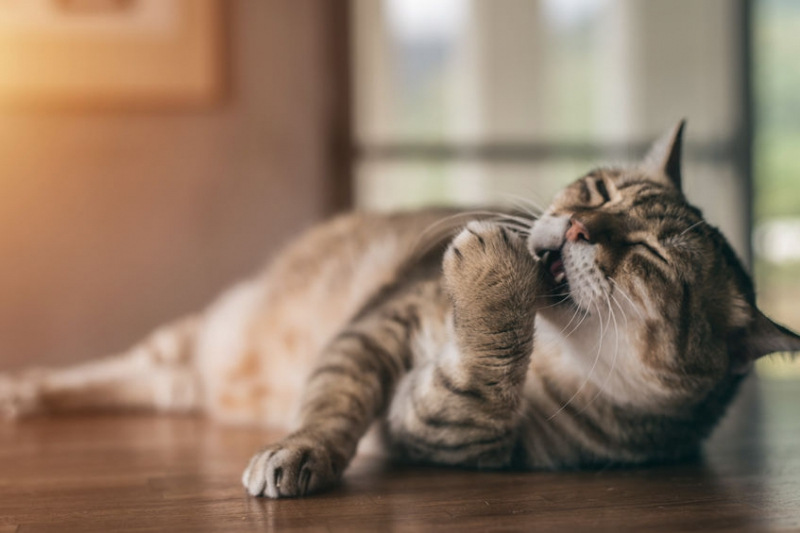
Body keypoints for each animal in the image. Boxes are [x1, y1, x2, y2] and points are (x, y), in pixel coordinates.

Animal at [1, 121, 800, 498]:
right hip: (193, 338)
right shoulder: (378, 328)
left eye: (649, 258)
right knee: (110, 368)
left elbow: (474, 386)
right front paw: (302, 450)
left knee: (151, 381)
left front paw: (492, 285)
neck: (551, 352)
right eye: (597, 190)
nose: (574, 227)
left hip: (185, 375)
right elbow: (331, 405)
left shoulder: (453, 431)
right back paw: (21, 390)